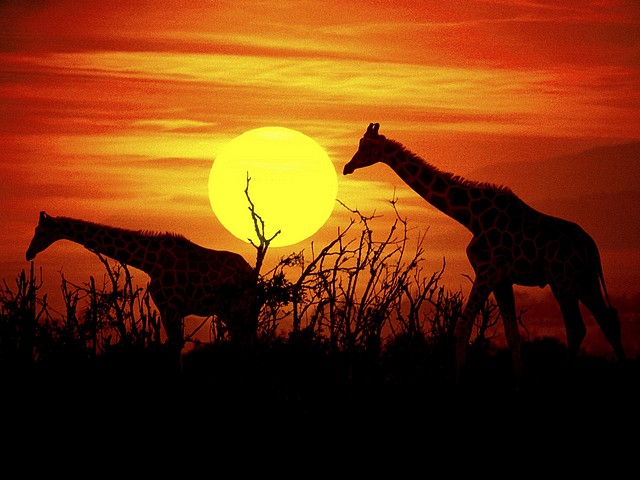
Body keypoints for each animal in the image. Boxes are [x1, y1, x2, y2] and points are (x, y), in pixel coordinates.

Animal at [25, 211, 256, 367]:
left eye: (40, 231)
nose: (29, 253)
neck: (150, 262)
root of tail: (251, 273)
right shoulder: (172, 310)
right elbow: (175, 346)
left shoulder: (170, 308)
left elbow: (175, 347)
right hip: (230, 311)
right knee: (244, 339)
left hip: (237, 308)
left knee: (246, 339)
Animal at [343, 123, 626, 384]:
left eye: (364, 147)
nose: (347, 167)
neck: (471, 216)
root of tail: (592, 247)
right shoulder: (502, 278)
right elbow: (512, 335)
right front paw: (518, 383)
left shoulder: (487, 270)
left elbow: (461, 327)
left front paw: (459, 381)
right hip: (585, 280)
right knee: (608, 321)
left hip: (563, 281)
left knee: (577, 328)